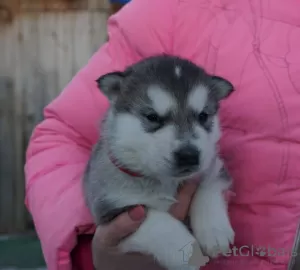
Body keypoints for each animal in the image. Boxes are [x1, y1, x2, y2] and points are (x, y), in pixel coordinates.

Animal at [83, 55, 236, 270]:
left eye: (203, 116)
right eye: (152, 117)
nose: (189, 155)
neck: (164, 181)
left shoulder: (213, 165)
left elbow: (208, 186)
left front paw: (214, 230)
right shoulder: (112, 212)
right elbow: (157, 221)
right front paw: (186, 251)